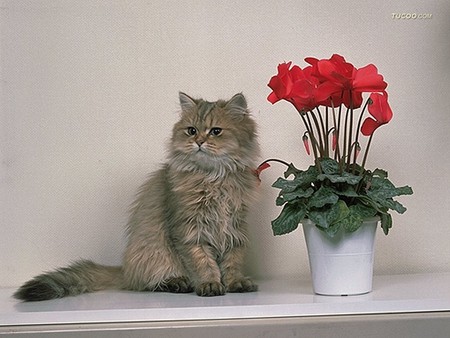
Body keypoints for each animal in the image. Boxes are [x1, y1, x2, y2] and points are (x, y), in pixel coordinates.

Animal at [14, 92, 260, 302]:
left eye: (216, 131)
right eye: (191, 130)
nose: (198, 142)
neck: (213, 179)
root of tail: (125, 269)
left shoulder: (235, 227)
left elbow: (233, 260)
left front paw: (235, 282)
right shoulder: (189, 230)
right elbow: (202, 263)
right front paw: (210, 283)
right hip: (152, 253)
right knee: (148, 283)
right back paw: (176, 283)